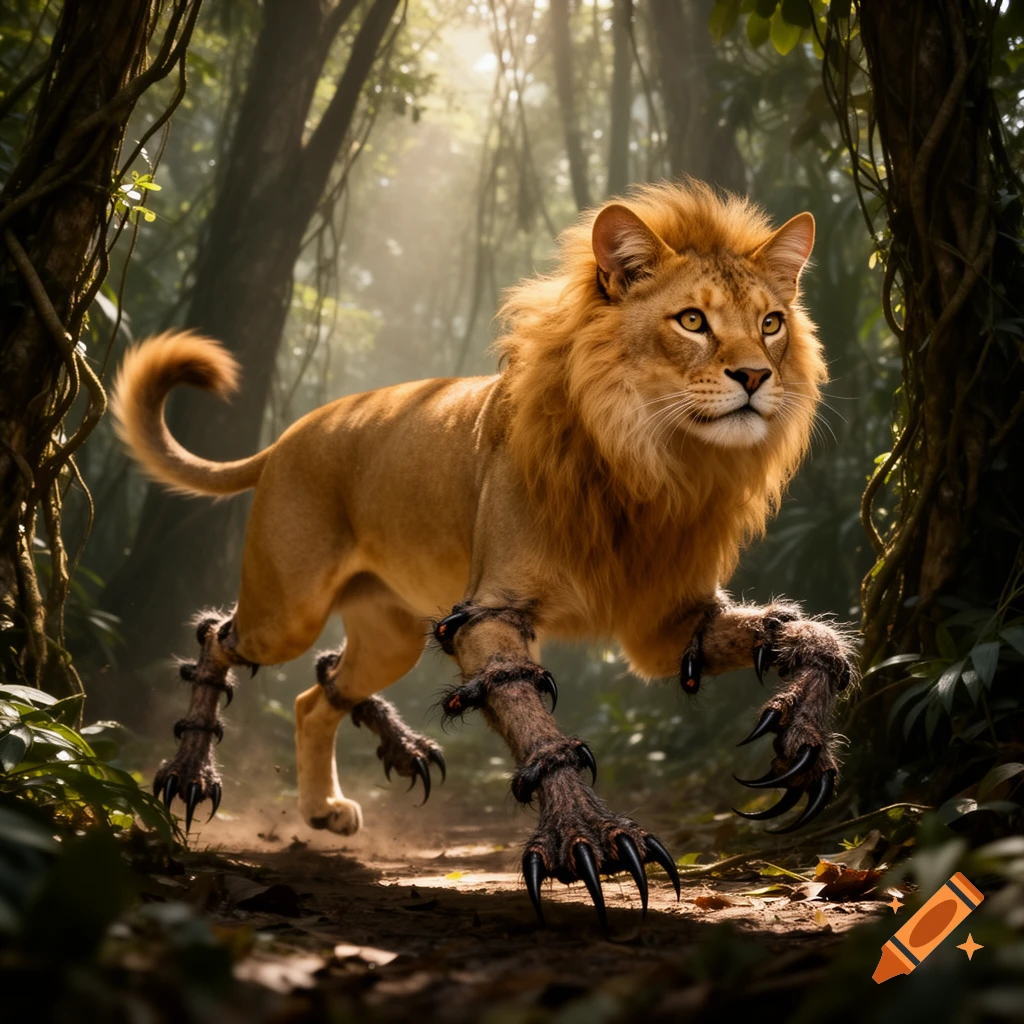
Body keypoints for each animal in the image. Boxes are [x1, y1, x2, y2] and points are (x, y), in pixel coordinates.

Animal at [112, 181, 855, 925]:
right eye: (693, 320)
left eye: (771, 323)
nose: (756, 376)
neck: (658, 462)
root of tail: (289, 434)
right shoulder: (491, 610)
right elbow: (530, 716)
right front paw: (590, 836)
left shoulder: (666, 625)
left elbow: (797, 634)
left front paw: (804, 736)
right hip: (286, 607)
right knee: (220, 636)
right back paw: (191, 775)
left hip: (390, 636)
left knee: (315, 691)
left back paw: (333, 803)